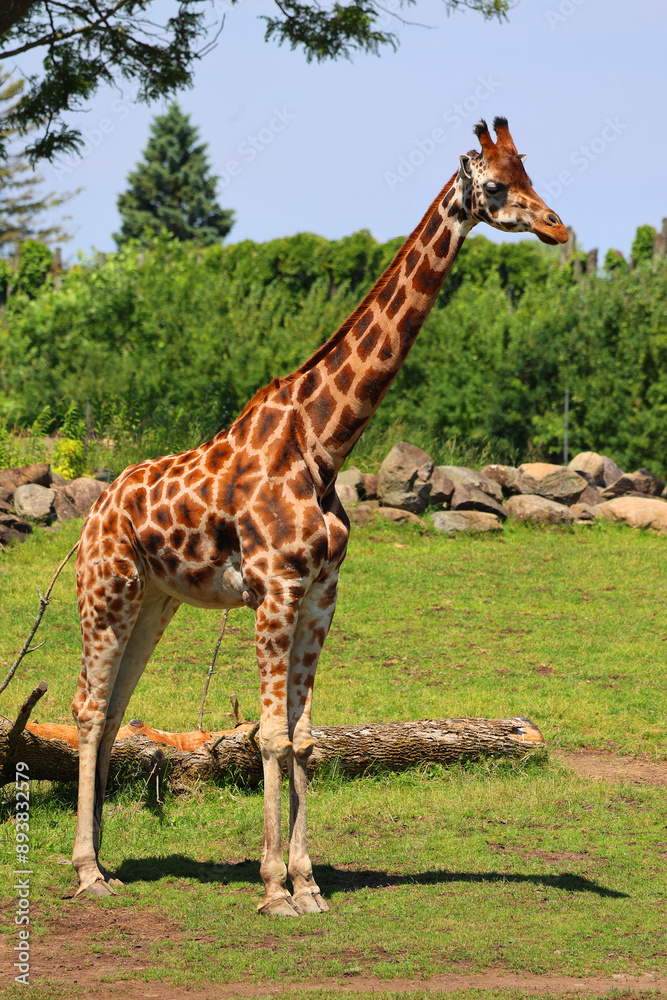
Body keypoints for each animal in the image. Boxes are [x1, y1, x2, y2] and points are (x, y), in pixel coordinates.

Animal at [71, 117, 568, 914]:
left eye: (529, 172)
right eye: (496, 186)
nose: (556, 225)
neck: (325, 442)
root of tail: (97, 508)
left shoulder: (322, 594)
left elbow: (306, 737)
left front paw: (307, 883)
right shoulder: (275, 589)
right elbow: (271, 736)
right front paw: (275, 887)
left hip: (154, 601)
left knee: (115, 710)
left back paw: (108, 862)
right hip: (106, 590)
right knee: (88, 710)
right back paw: (87, 872)